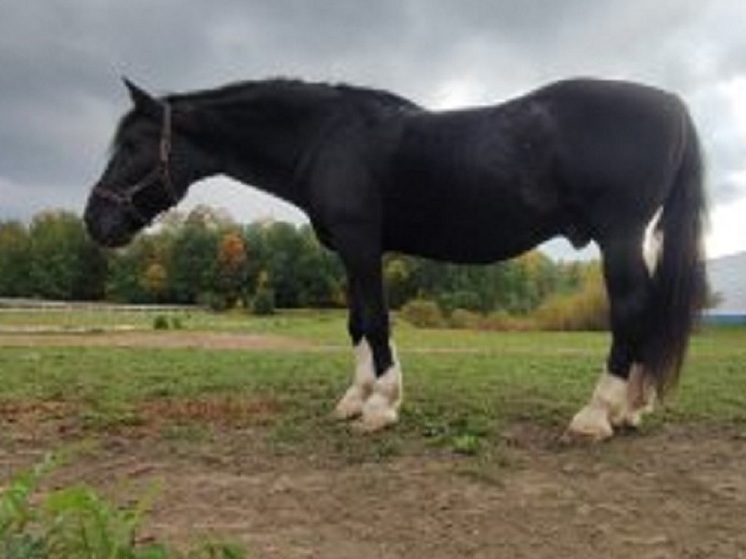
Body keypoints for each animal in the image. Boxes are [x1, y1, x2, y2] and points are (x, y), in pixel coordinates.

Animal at [84, 76, 708, 440]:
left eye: (134, 144)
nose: (95, 221)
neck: (327, 136)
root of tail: (671, 101)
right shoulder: (350, 250)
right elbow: (357, 323)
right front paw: (355, 399)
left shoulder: (362, 243)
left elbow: (378, 322)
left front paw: (381, 407)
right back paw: (630, 409)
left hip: (619, 237)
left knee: (630, 311)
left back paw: (598, 414)